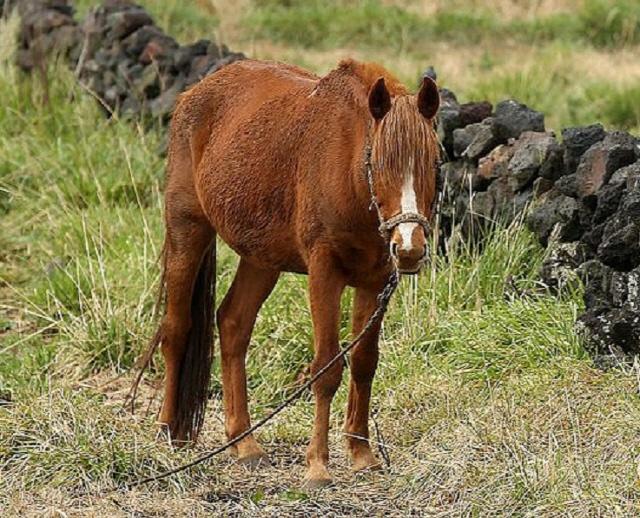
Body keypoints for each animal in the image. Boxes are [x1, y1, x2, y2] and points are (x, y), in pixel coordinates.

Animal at [142, 59, 440, 490]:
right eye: (378, 163)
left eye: (434, 163)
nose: (409, 247)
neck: (348, 173)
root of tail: (193, 94)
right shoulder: (324, 274)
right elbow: (326, 369)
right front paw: (317, 466)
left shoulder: (376, 281)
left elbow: (364, 362)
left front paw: (362, 454)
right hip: (188, 230)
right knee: (176, 328)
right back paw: (168, 431)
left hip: (261, 259)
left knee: (233, 324)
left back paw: (244, 443)